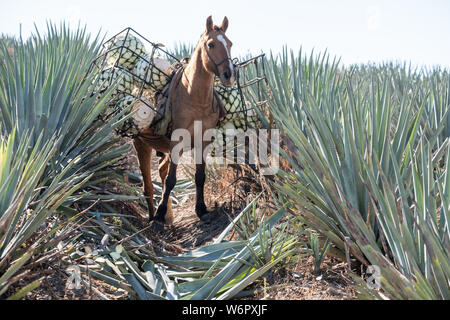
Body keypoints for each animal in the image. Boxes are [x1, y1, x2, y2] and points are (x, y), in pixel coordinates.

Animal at [132, 15, 236, 230]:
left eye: (230, 44)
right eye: (211, 44)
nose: (229, 75)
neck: (194, 97)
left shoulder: (203, 142)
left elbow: (200, 177)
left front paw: (202, 210)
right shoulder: (177, 142)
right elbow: (171, 180)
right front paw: (159, 215)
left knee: (161, 172)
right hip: (141, 144)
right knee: (148, 185)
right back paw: (153, 216)